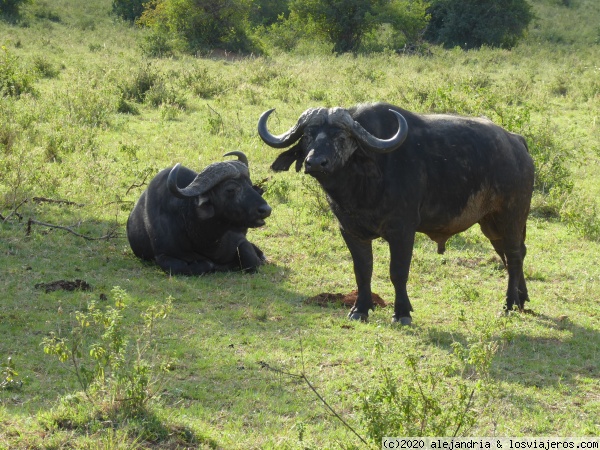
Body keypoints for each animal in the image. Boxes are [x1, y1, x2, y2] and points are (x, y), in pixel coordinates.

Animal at [126, 152, 272, 274]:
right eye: (230, 189)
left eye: (250, 184)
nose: (266, 209)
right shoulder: (163, 255)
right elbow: (201, 265)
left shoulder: (240, 241)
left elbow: (251, 261)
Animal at [258, 102, 536, 324]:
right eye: (308, 136)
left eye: (341, 137)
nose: (315, 162)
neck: (364, 184)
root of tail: (517, 143)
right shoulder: (350, 231)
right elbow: (363, 270)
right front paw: (360, 309)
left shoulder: (403, 231)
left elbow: (398, 272)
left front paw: (402, 313)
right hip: (491, 224)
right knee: (511, 254)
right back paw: (521, 298)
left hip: (511, 216)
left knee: (514, 255)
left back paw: (509, 304)